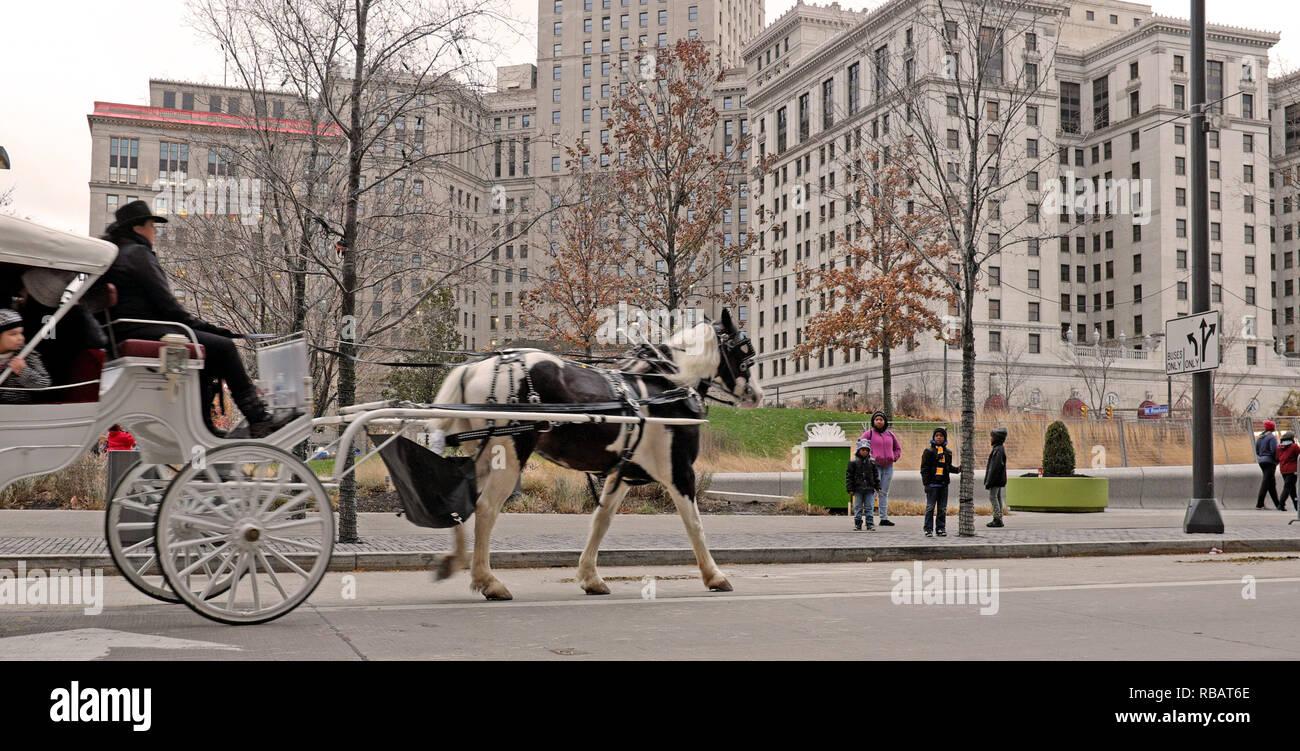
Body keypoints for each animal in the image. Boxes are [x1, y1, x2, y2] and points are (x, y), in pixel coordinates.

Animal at [426, 306, 759, 600]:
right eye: (745, 351)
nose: (756, 395)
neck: (667, 387)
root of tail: (473, 368)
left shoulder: (622, 474)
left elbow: (602, 520)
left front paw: (590, 577)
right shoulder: (680, 471)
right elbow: (695, 525)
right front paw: (714, 575)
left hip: (482, 455)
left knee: (458, 497)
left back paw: (455, 560)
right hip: (507, 454)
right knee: (486, 509)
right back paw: (488, 580)